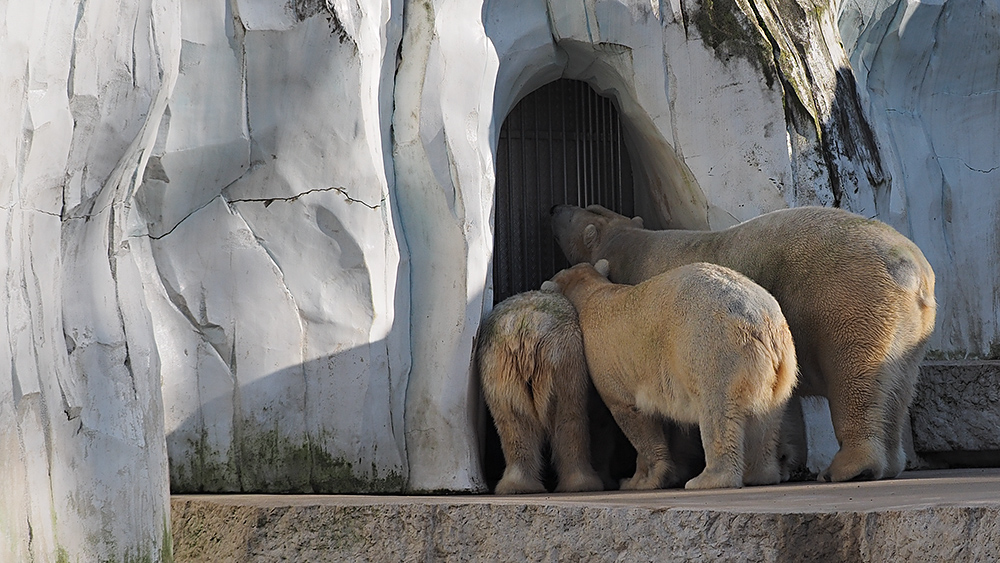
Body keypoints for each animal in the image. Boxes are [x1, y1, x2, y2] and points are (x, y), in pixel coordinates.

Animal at [474, 290, 600, 494]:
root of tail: (525, 327)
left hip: (498, 366)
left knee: (514, 419)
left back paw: (518, 486)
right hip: (562, 358)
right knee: (568, 415)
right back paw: (583, 484)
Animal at [544, 260, 792, 490]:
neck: (591, 294)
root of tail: (758, 319)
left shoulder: (610, 367)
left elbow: (634, 416)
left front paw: (645, 480)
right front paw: (635, 479)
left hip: (713, 346)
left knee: (718, 410)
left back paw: (707, 479)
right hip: (780, 362)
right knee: (769, 415)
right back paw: (762, 475)